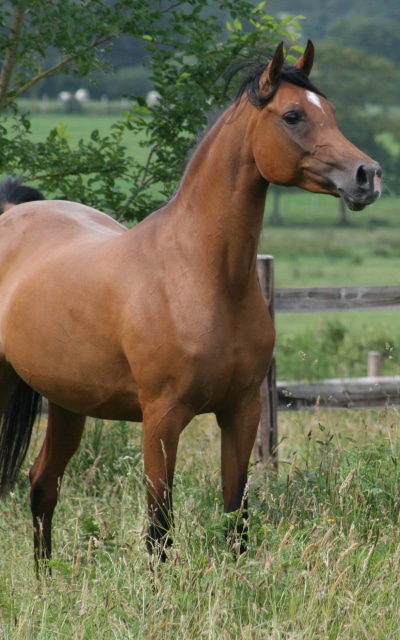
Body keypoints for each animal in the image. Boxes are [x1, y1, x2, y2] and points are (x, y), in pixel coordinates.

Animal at [0, 41, 381, 571]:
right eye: (293, 115)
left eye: (332, 113)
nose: (368, 176)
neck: (202, 275)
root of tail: (11, 214)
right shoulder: (162, 419)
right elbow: (159, 527)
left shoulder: (242, 412)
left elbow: (236, 517)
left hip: (68, 403)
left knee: (42, 487)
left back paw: (46, 582)